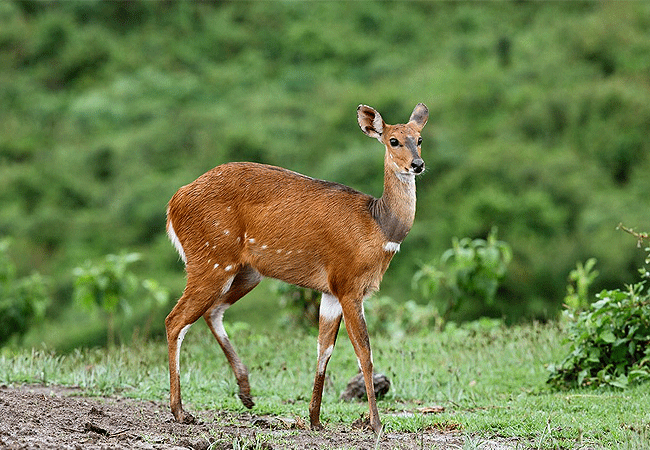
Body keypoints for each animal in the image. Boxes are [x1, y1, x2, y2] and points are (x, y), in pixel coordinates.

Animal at [163, 102, 426, 432]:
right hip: (210, 261)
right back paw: (180, 410)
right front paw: (376, 424)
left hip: (246, 272)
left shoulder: (330, 292)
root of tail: (173, 203)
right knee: (175, 320)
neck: (378, 228)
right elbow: (363, 352)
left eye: (419, 139)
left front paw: (314, 419)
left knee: (212, 311)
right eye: (393, 140)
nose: (417, 164)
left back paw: (246, 394)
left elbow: (324, 350)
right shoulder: (349, 285)